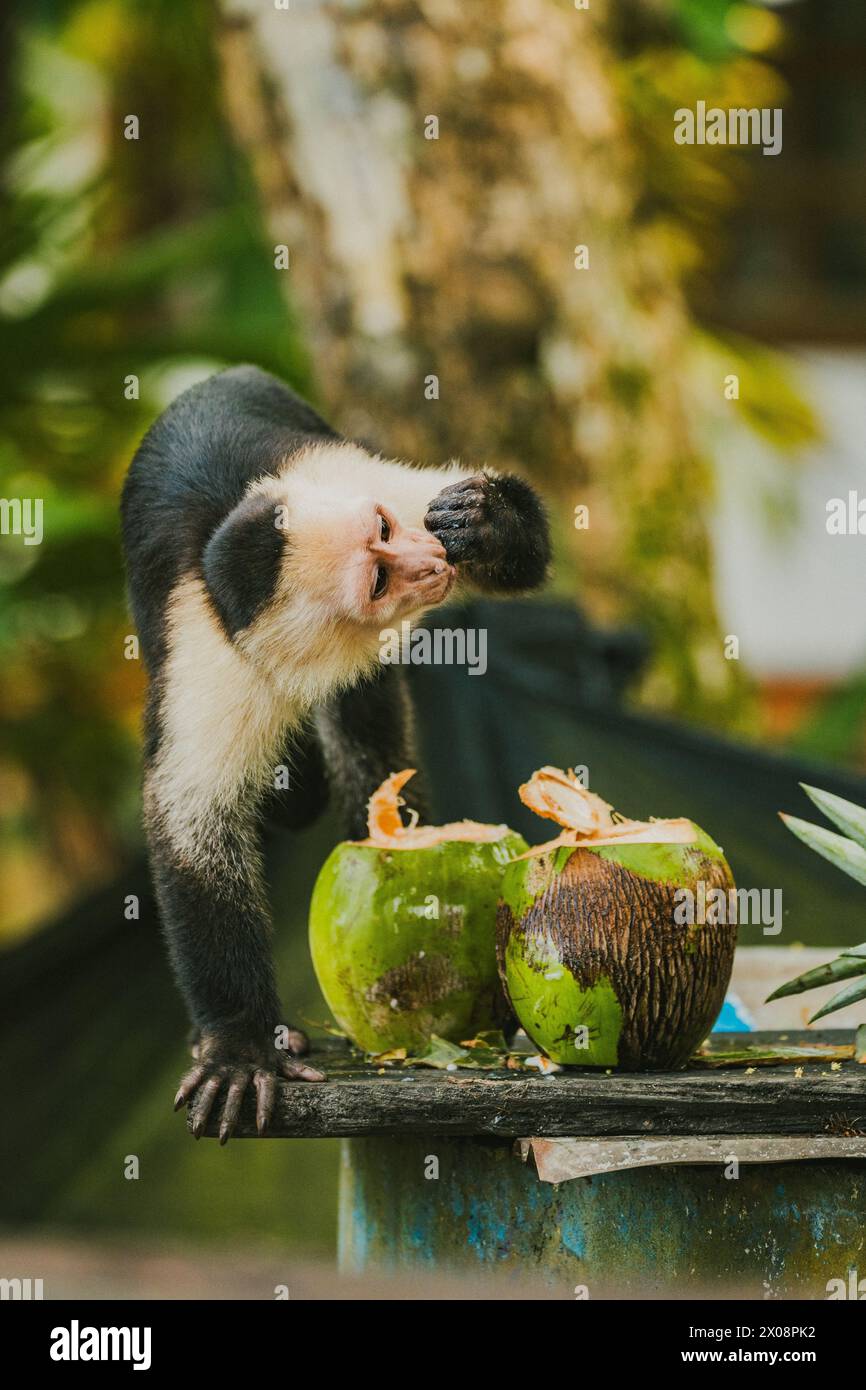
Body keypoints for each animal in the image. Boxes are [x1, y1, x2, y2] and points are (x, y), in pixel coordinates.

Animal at [121, 366, 550, 1141]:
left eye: (384, 530)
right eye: (376, 578)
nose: (429, 559)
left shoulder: (365, 485)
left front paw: (486, 521)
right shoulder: (218, 645)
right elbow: (193, 820)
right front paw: (239, 1045)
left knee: (362, 730)